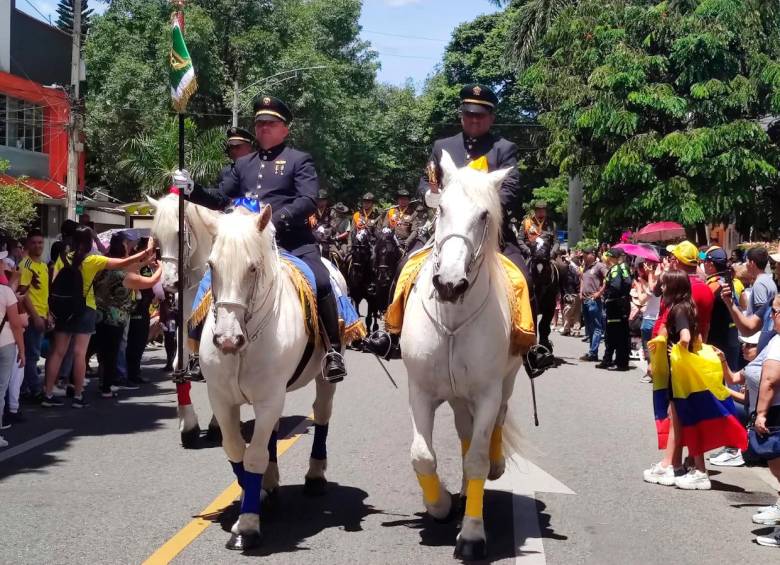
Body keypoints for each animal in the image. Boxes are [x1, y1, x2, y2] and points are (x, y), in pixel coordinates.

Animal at [148, 193, 221, 446]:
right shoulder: (185, 322)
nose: (170, 283)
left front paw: (216, 425)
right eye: (157, 238)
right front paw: (188, 425)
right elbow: (178, 364)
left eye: (180, 232)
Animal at [200, 205, 336, 548]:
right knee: (273, 432)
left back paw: (315, 476)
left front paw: (247, 526)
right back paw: (271, 485)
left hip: (324, 380)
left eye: (252, 268)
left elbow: (254, 457)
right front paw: (257, 494)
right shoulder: (221, 400)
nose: (227, 340)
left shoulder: (269, 398)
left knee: (322, 415)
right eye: (211, 265)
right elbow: (237, 450)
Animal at [402, 151, 524, 560]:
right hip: (456, 396)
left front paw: (471, 534)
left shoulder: (487, 392)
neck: (453, 317)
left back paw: (496, 465)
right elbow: (422, 455)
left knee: (495, 423)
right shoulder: (420, 391)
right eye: (441, 209)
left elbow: (477, 460)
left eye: (484, 215)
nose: (449, 284)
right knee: (465, 431)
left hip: (506, 381)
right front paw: (439, 505)